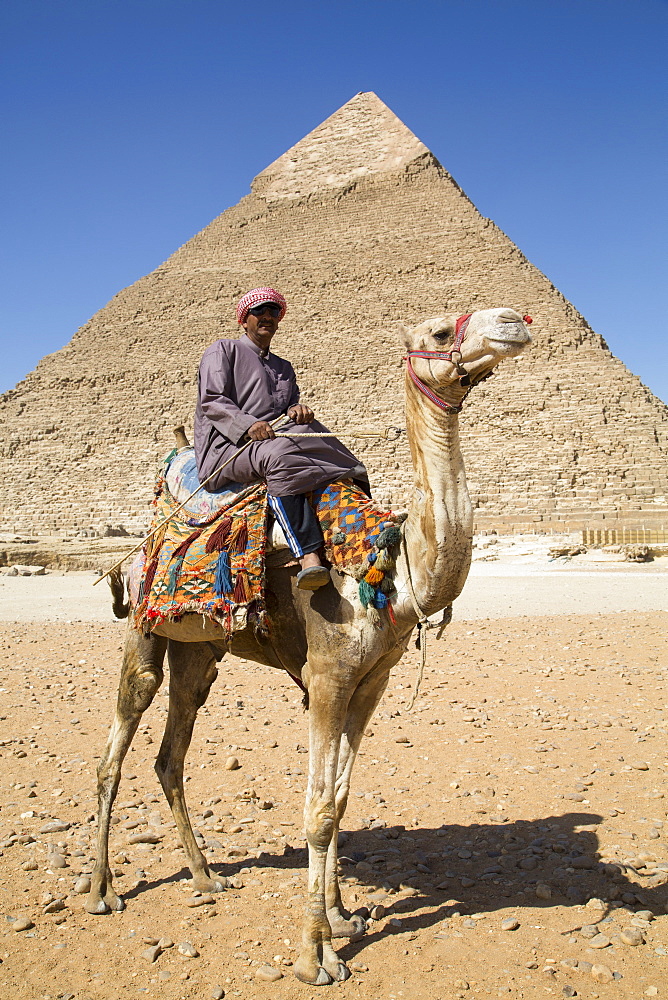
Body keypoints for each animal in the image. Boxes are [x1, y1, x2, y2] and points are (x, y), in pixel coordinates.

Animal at [86, 306, 532, 984]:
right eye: (437, 331)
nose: (514, 320)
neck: (390, 568)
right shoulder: (326, 677)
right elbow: (318, 808)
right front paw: (314, 954)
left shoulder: (370, 682)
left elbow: (341, 800)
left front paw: (343, 917)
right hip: (144, 627)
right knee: (117, 747)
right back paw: (102, 891)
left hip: (199, 650)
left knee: (171, 752)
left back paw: (206, 877)